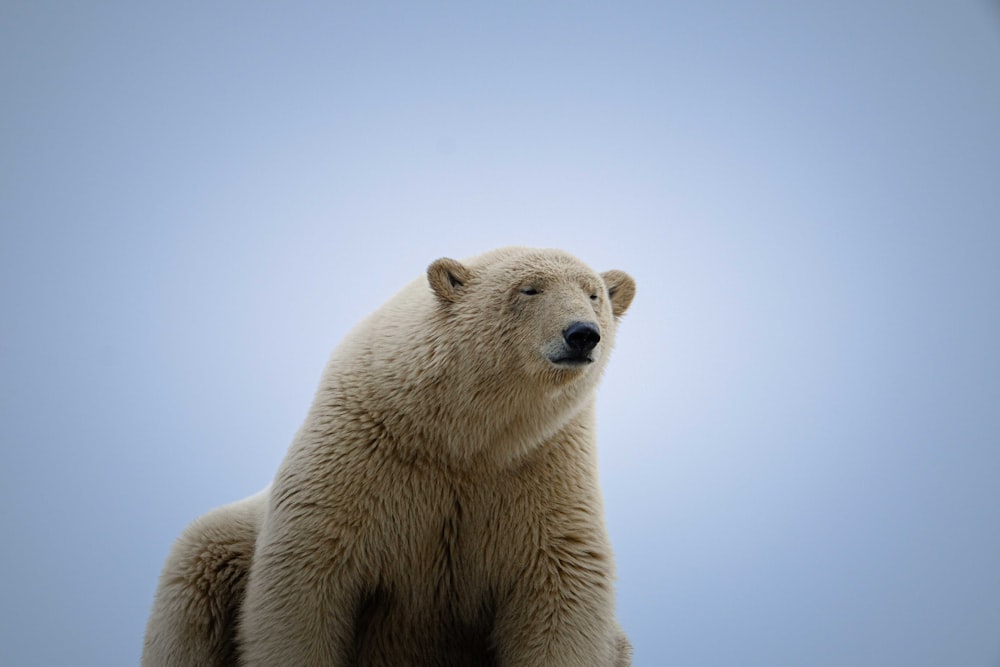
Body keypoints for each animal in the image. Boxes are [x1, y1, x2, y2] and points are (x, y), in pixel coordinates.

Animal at [143, 248, 632, 667]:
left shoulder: (540, 468)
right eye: (529, 289)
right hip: (218, 549)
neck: (459, 438)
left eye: (594, 294)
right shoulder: (356, 460)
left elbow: (560, 587)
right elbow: (302, 586)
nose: (582, 334)